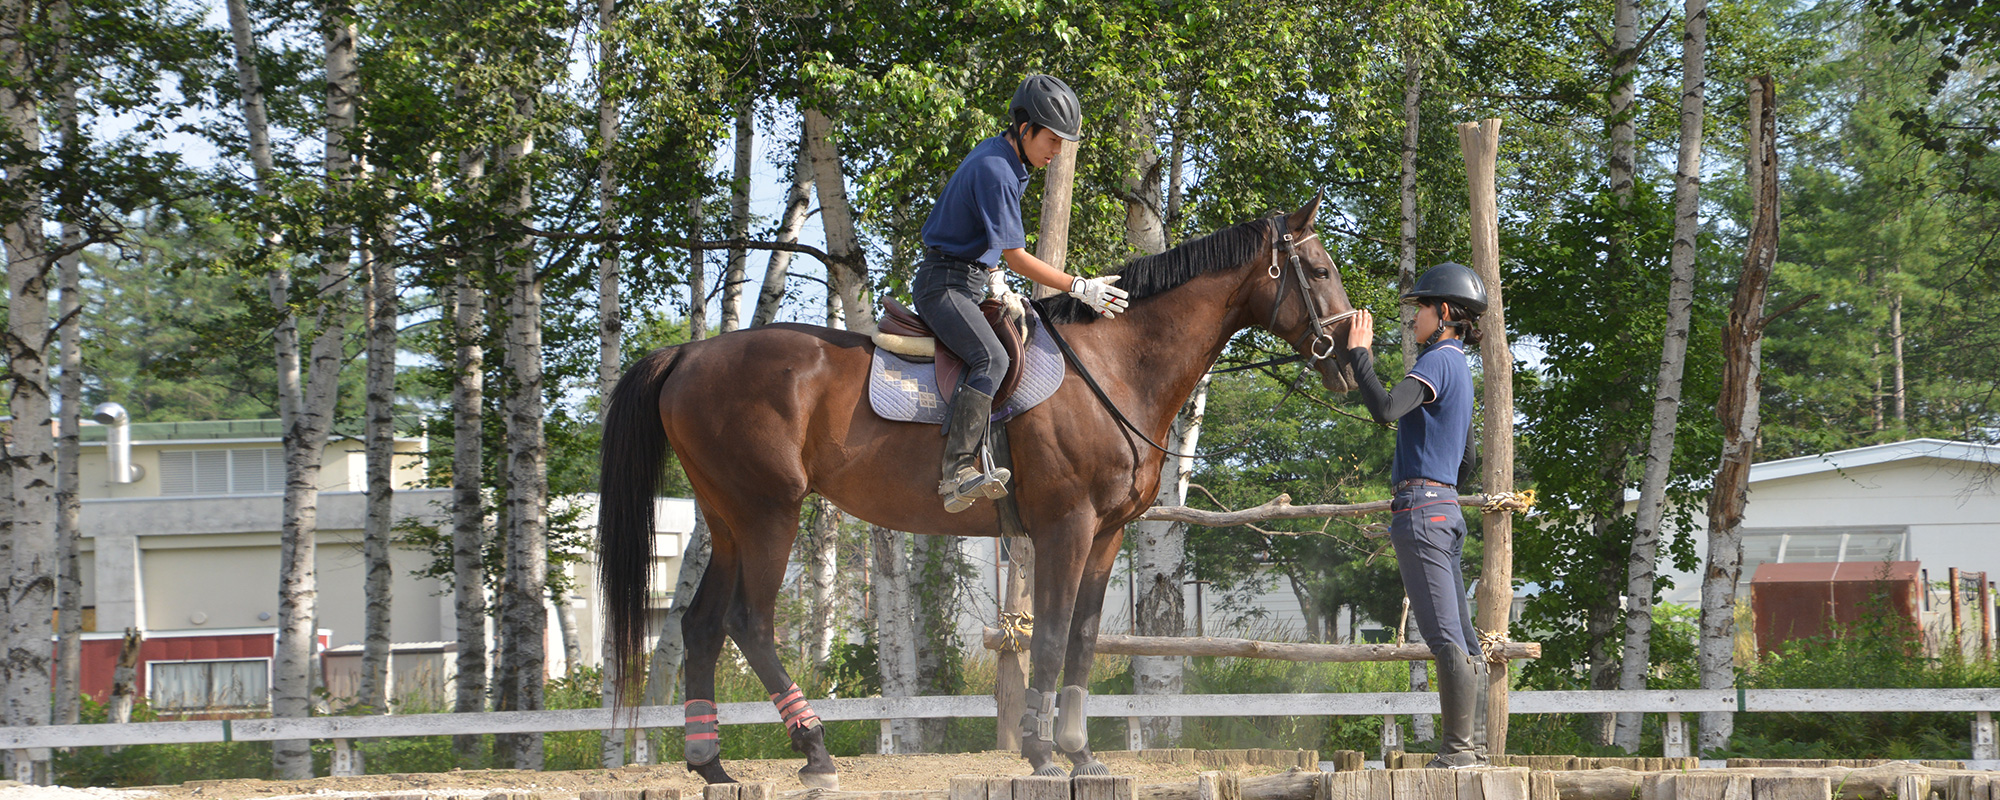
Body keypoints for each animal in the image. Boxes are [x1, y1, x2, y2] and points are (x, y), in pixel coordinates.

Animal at [596, 195, 1360, 788]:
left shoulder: (1106, 534)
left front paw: (1080, 754)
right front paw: (1043, 753)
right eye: (1320, 270)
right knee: (748, 623)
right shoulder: (1065, 526)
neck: (1113, 362)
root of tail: (689, 354)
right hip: (768, 514)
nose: (1352, 360)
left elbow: (1084, 637)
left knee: (699, 625)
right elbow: (1049, 635)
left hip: (727, 518)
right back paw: (813, 751)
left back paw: (711, 764)